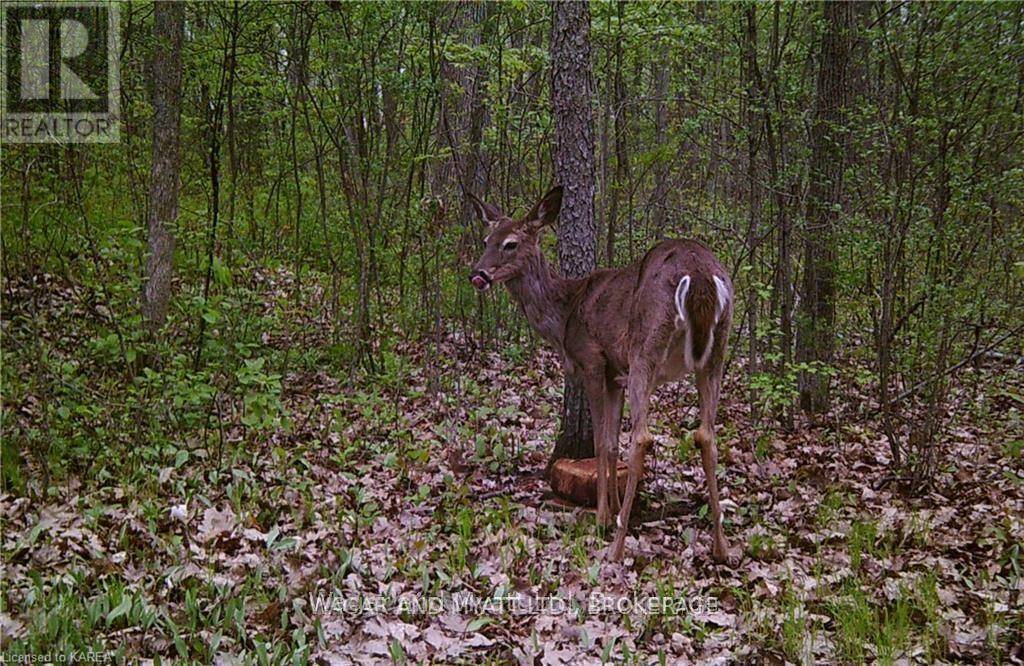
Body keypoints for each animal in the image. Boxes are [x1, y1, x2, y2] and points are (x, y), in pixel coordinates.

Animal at [468, 185, 733, 561]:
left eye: (511, 244)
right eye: (486, 239)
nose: (478, 274)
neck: (566, 313)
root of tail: (698, 275)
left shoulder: (593, 362)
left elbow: (598, 441)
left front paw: (604, 517)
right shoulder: (615, 375)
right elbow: (610, 445)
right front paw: (618, 506)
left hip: (645, 348)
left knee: (643, 437)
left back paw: (617, 547)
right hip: (715, 352)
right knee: (706, 435)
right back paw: (721, 547)